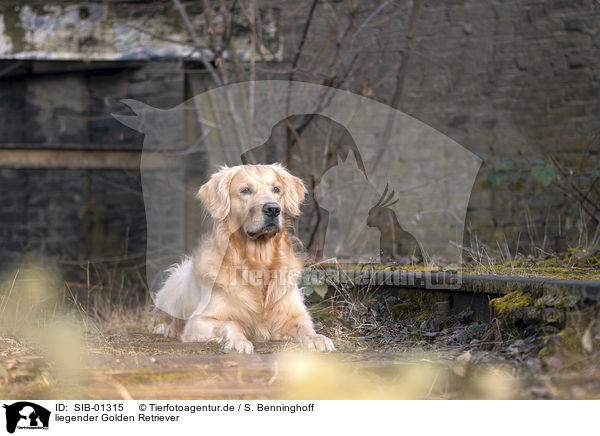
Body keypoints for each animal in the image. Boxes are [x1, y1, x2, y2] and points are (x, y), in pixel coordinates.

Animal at [152, 164, 336, 354]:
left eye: (276, 189)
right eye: (245, 190)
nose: (273, 209)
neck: (258, 262)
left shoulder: (295, 315)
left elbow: (304, 326)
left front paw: (317, 339)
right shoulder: (199, 321)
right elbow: (232, 323)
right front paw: (239, 342)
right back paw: (168, 329)